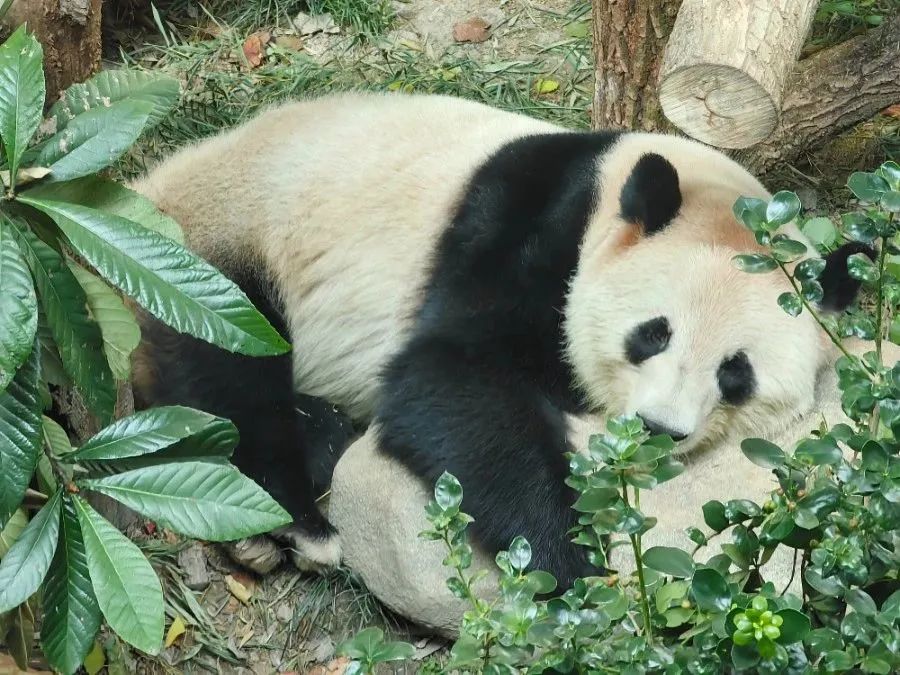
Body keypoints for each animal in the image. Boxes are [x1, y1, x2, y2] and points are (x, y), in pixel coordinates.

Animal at [130, 91, 868, 592]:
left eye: (736, 372)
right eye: (653, 334)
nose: (660, 428)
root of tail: (141, 190)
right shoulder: (522, 235)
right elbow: (453, 376)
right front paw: (575, 567)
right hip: (213, 261)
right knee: (227, 377)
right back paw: (297, 526)